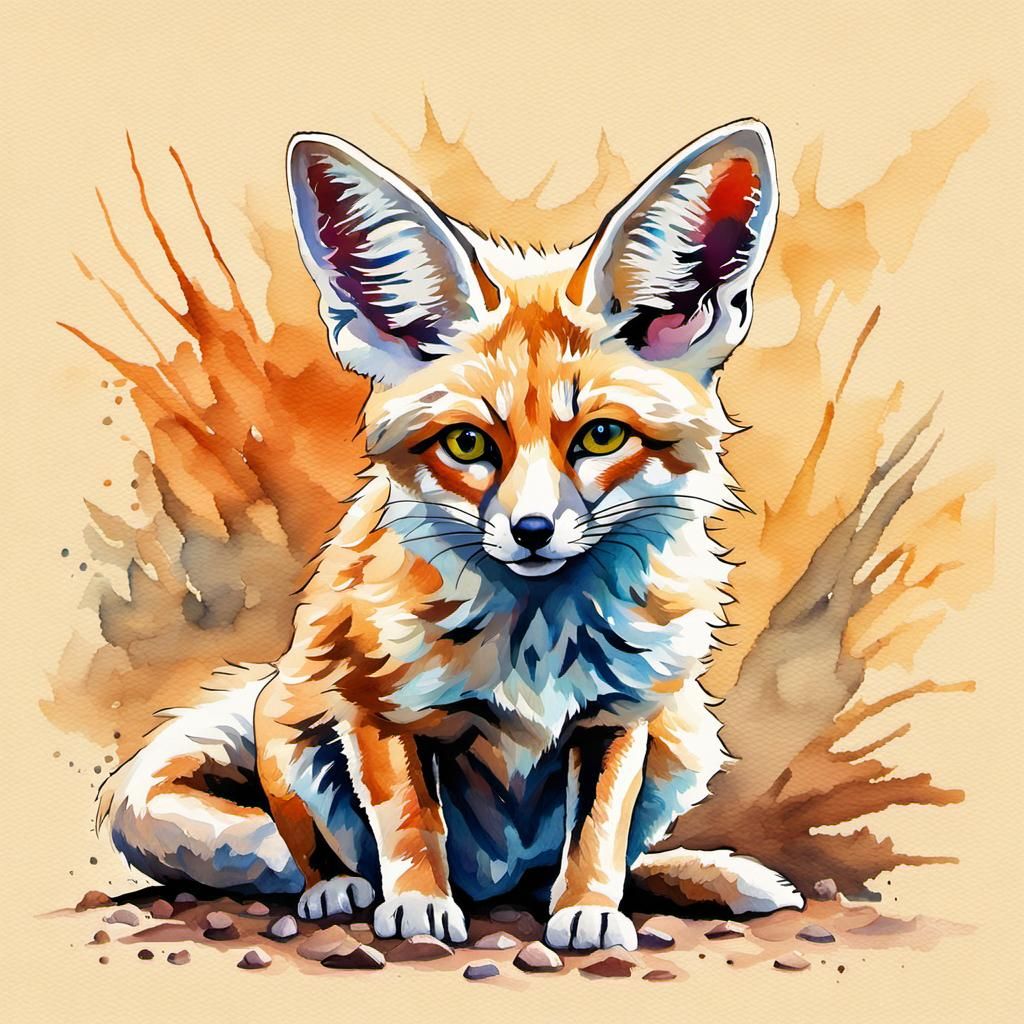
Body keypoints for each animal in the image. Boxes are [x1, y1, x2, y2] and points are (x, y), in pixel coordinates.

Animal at [99, 119, 804, 951]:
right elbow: (409, 824)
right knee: (316, 847)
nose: (532, 531)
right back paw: (339, 891)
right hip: (292, 724)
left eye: (600, 436)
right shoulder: (374, 707)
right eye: (467, 444)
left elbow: (598, 834)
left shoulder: (622, 715)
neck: (537, 641)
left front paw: (590, 912)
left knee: (574, 870)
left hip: (683, 740)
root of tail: (493, 885)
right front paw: (417, 907)